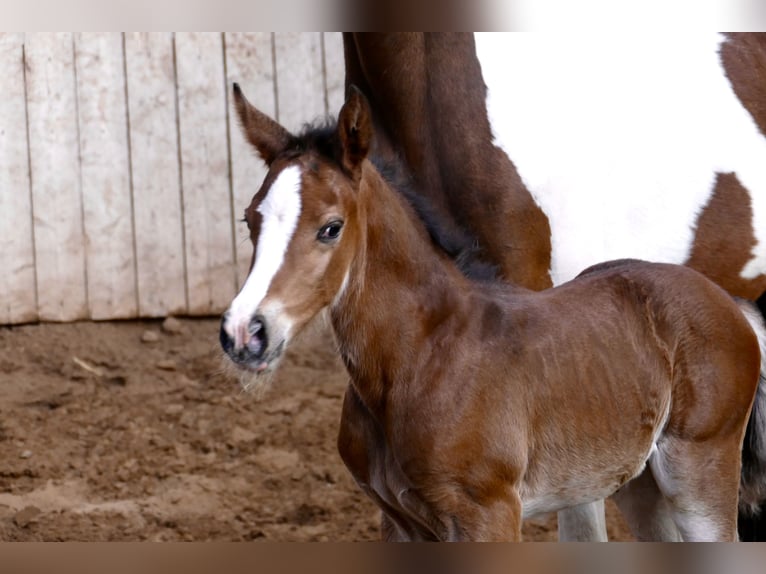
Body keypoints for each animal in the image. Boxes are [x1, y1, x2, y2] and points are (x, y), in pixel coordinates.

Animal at [219, 85, 766, 541]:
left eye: (331, 228)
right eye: (249, 219)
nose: (245, 332)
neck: (421, 356)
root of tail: (729, 301)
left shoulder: (488, 514)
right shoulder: (399, 523)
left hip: (698, 471)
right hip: (637, 482)